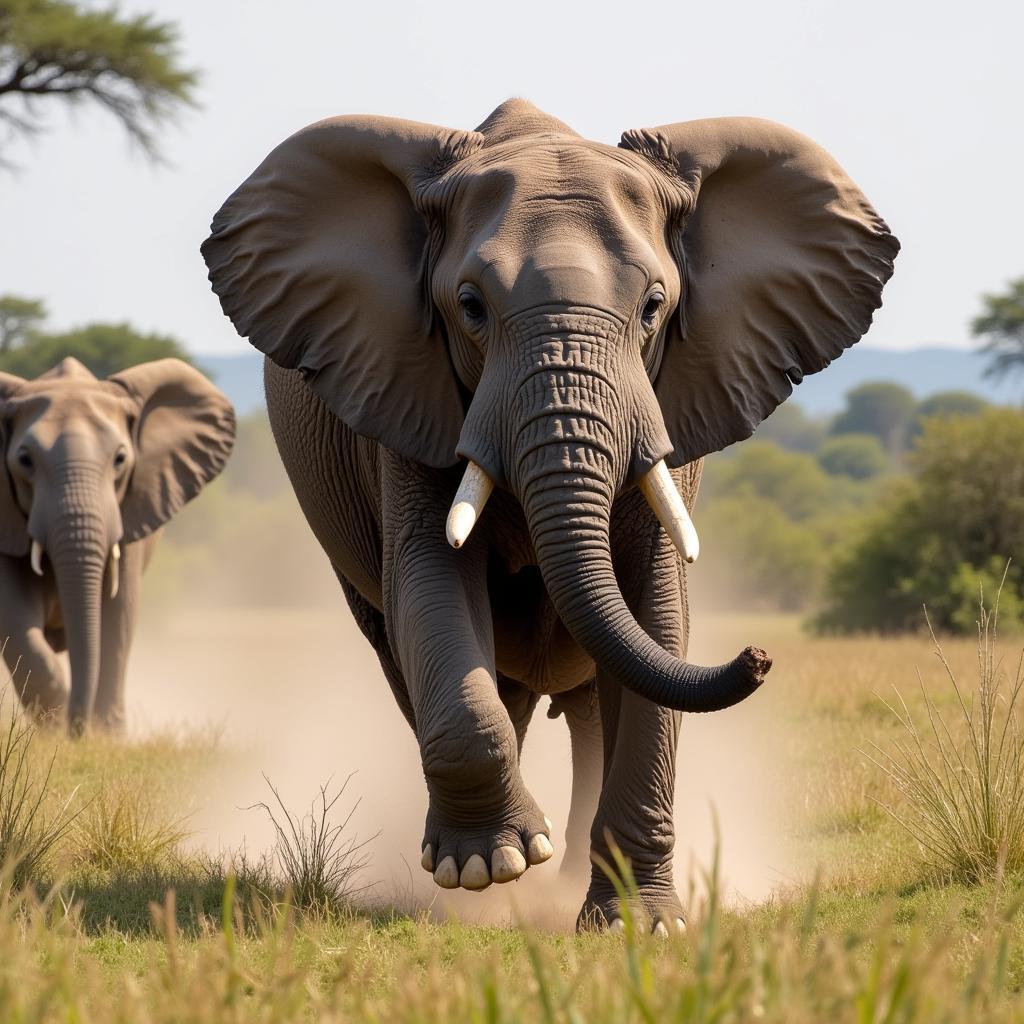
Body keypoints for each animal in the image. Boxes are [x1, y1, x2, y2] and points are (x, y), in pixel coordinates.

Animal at [0, 356, 234, 733]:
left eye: (120, 459)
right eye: (25, 460)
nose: (78, 730)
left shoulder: (128, 511)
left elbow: (117, 617)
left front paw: (104, 737)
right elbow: (16, 621)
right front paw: (54, 731)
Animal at [201, 99, 897, 933]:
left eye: (654, 307)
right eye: (470, 307)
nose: (759, 657)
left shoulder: (670, 403)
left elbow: (656, 611)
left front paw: (640, 924)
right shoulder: (405, 394)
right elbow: (431, 582)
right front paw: (487, 867)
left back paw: (563, 879)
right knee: (425, 659)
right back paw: (499, 863)